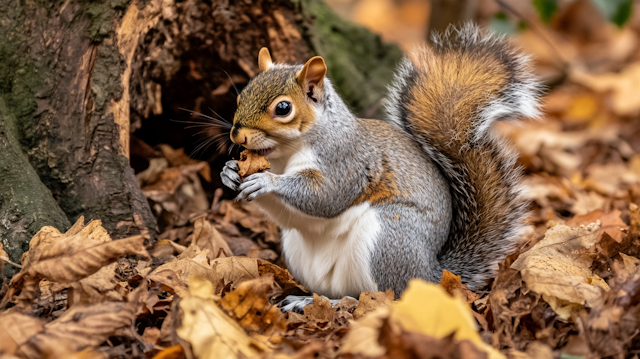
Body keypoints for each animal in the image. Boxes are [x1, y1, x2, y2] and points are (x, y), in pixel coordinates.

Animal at [220, 24, 540, 312]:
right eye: (240, 96)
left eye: (283, 108)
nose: (237, 135)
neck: (285, 156)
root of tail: (433, 276)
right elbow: (287, 214)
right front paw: (229, 171)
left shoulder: (346, 161)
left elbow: (325, 197)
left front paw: (267, 182)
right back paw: (309, 299)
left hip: (387, 239)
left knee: (384, 299)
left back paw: (331, 303)